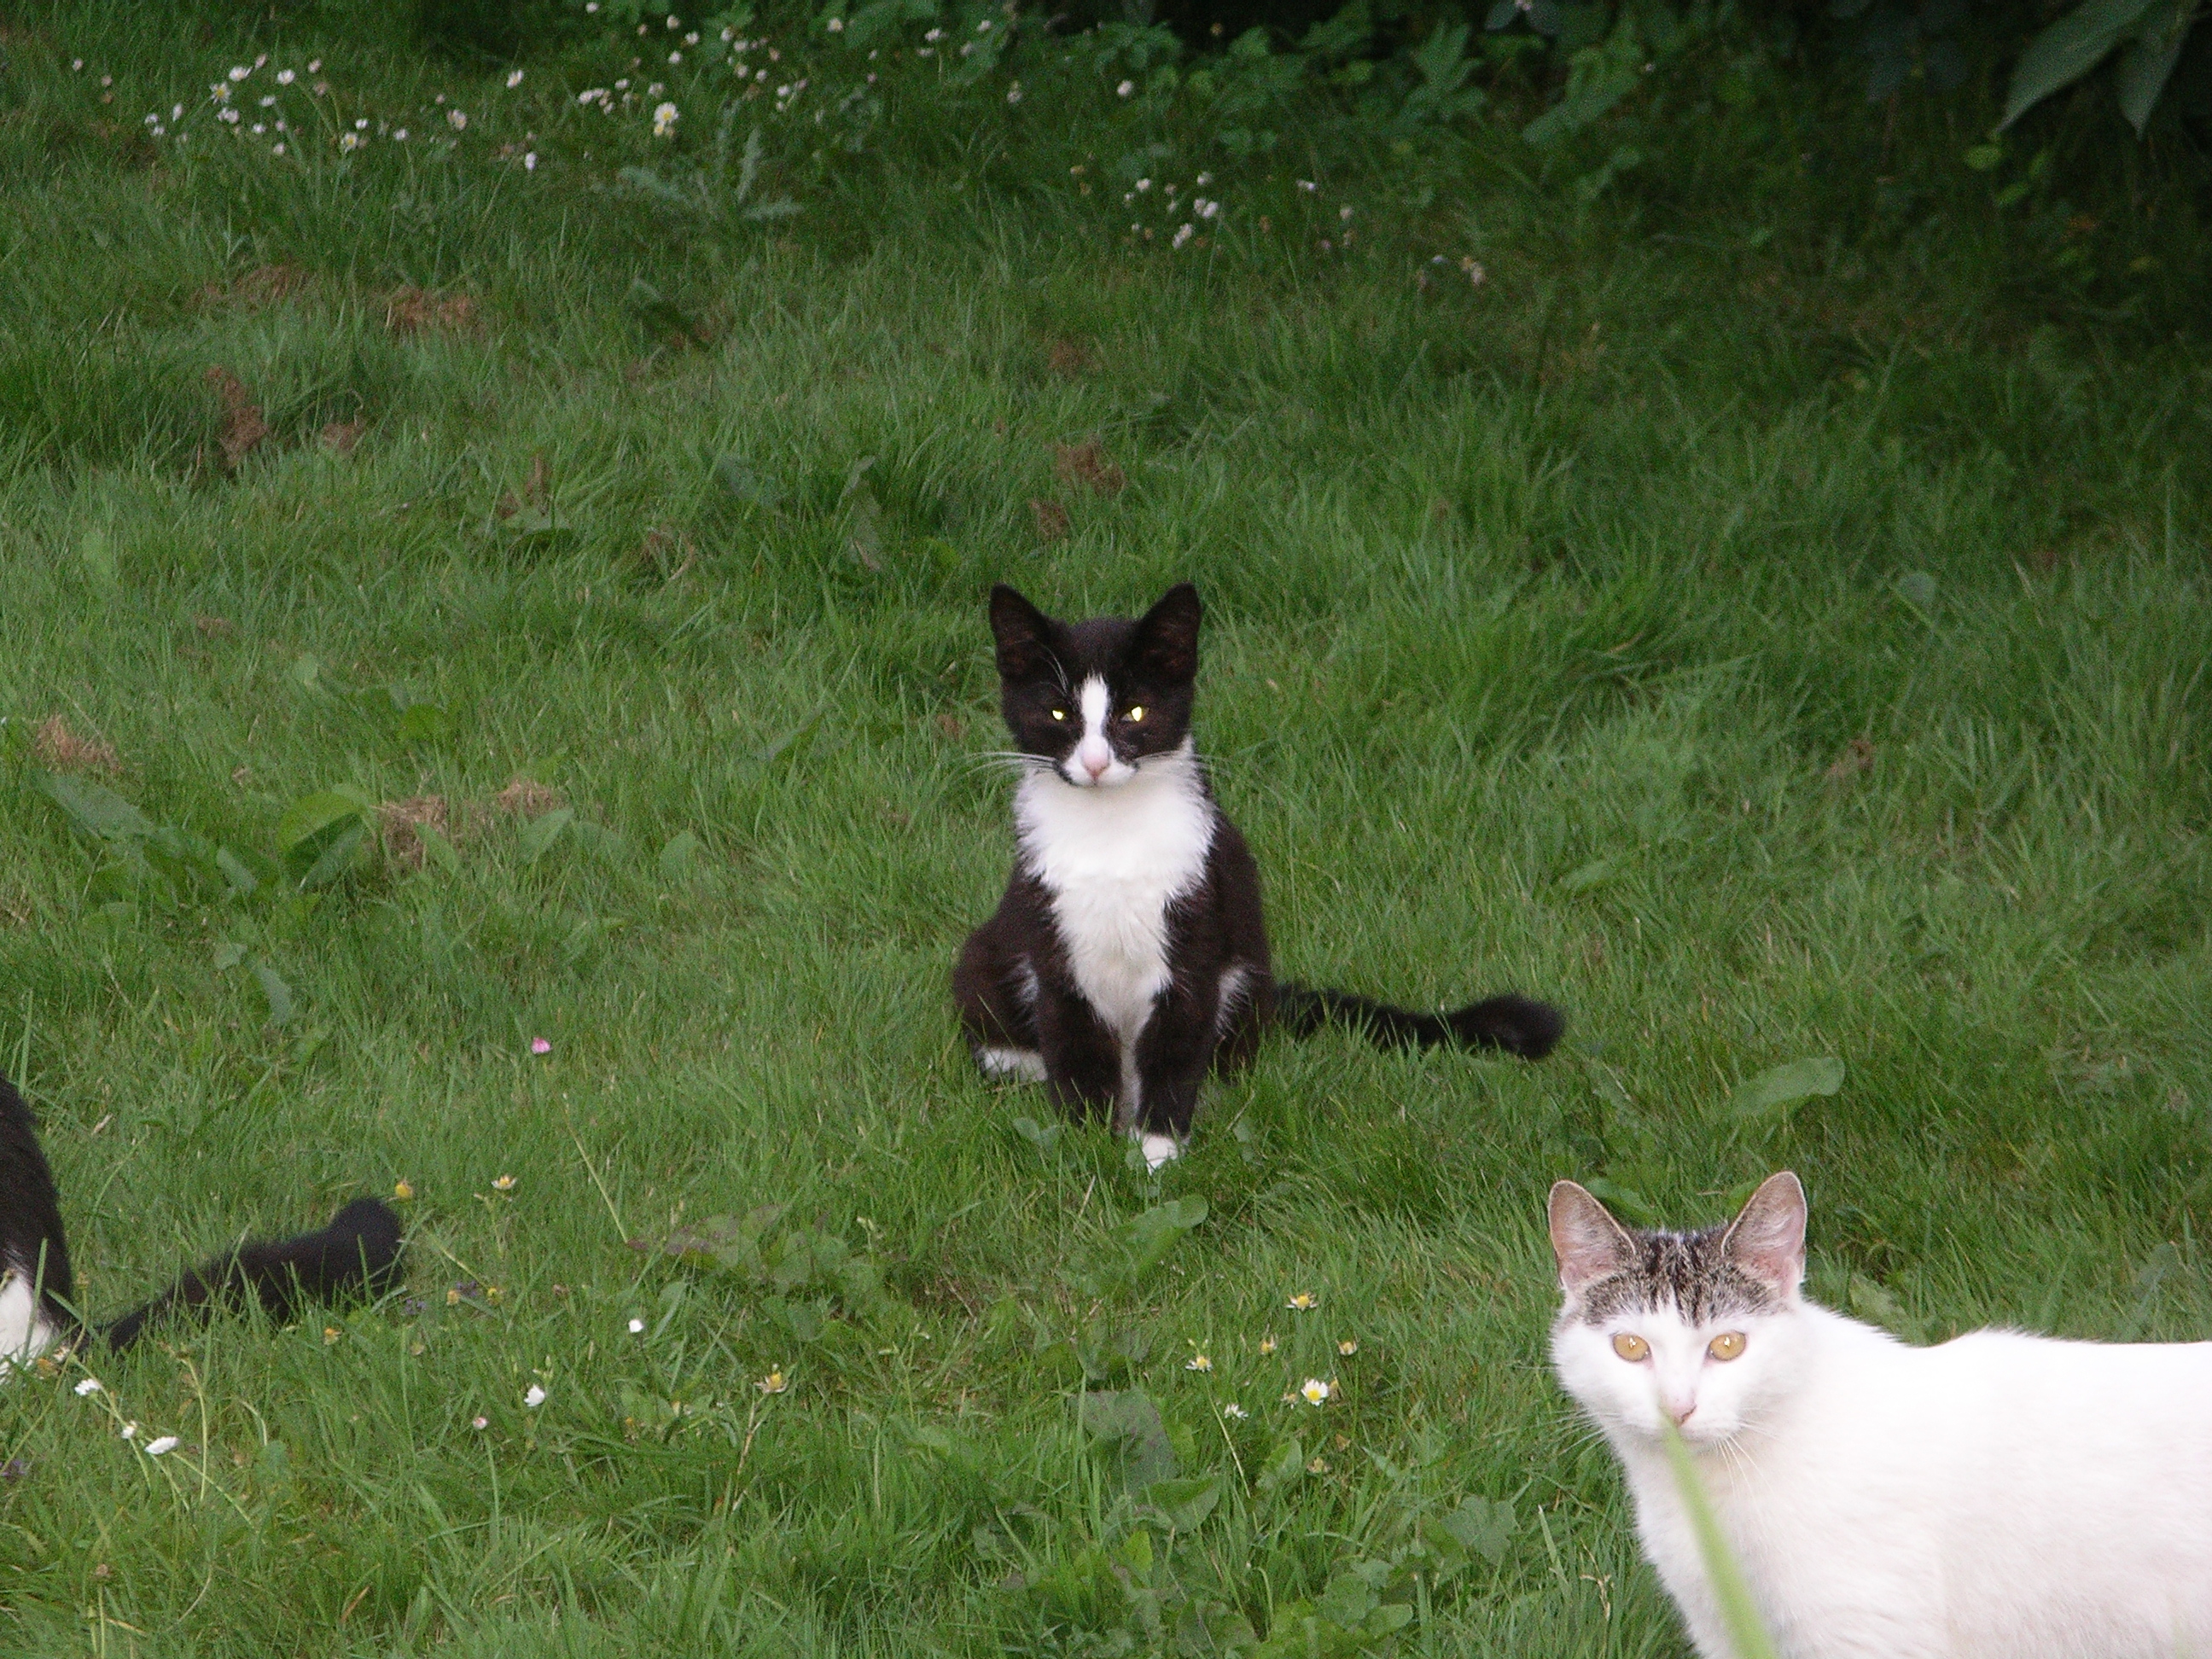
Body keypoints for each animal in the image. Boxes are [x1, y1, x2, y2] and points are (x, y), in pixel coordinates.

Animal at [954, 582, 1564, 1170]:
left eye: (1135, 713)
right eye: (1059, 714)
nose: (1097, 764)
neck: (1111, 836)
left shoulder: (1196, 928)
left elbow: (1174, 1050)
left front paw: (1156, 1156)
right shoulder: (1055, 947)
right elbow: (1076, 1051)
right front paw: (1085, 1151)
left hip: (1243, 976)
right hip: (985, 956)